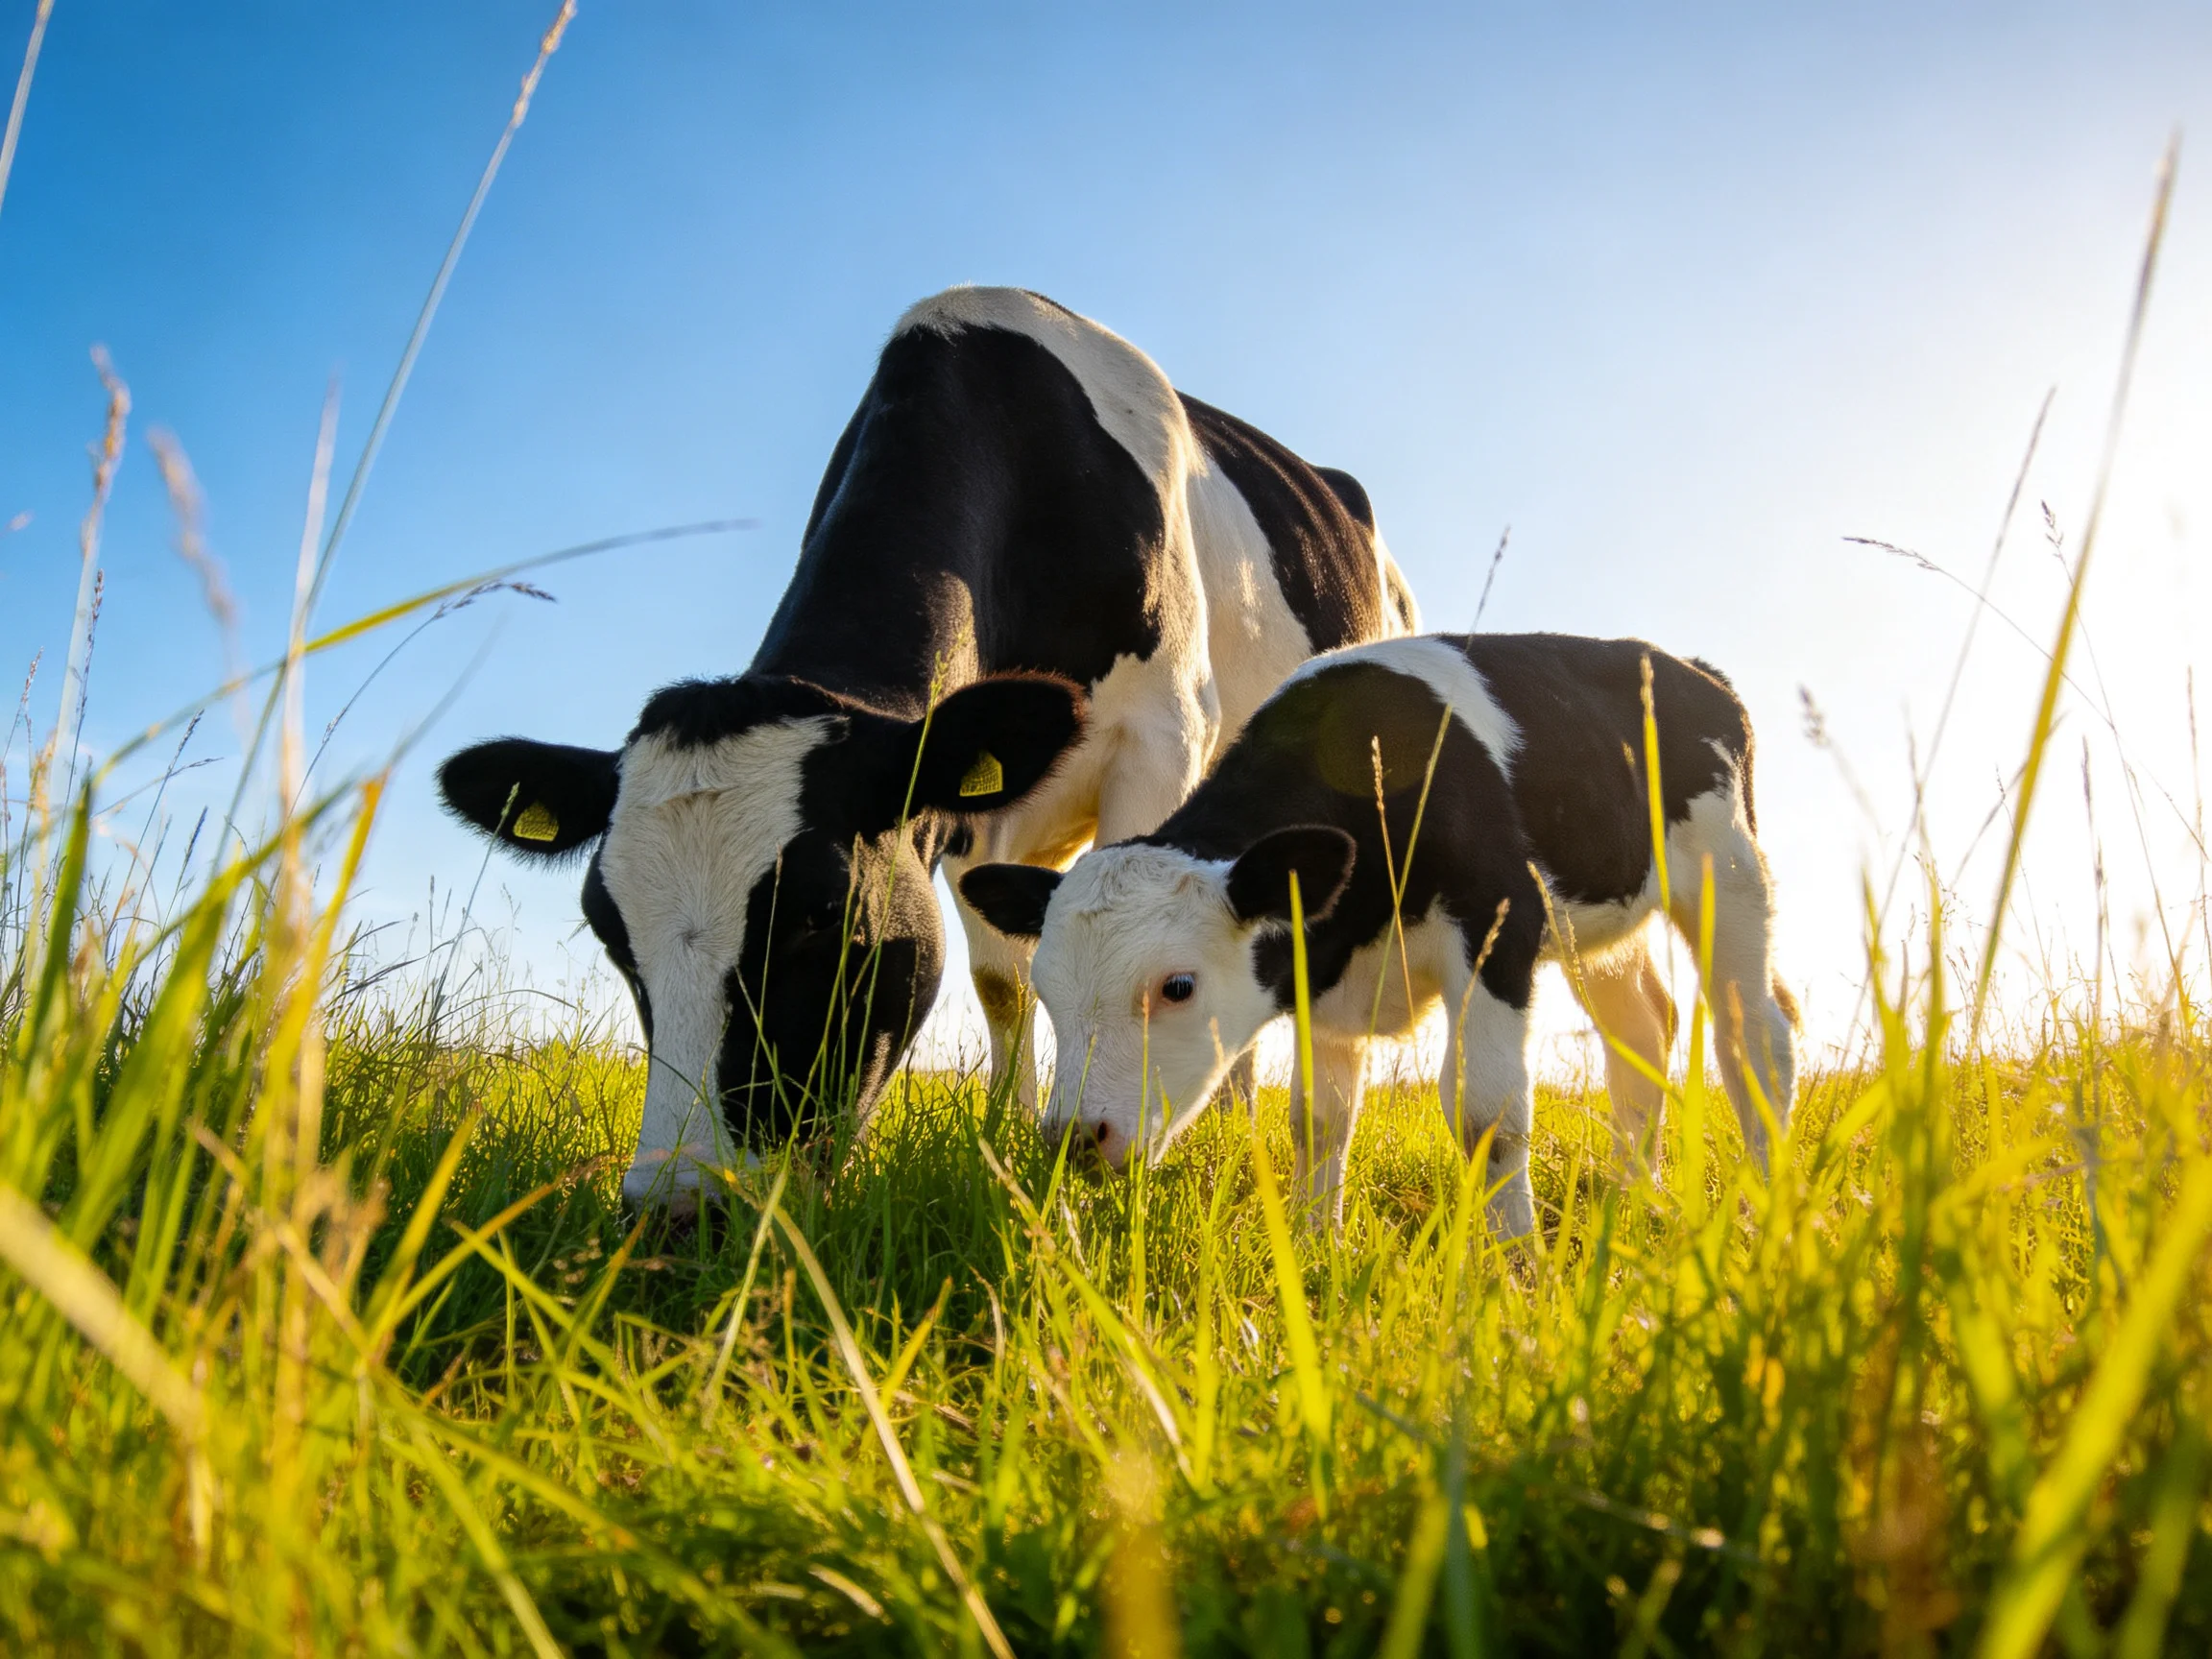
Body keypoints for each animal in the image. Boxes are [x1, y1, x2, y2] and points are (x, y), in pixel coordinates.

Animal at [436, 287, 1419, 1207]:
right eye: (611, 934)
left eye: (824, 919)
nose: (681, 1208)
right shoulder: (967, 819)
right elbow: (1003, 979)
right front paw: (1009, 1141)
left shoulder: (1161, 738)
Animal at [958, 633, 1797, 1239]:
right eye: (1047, 992)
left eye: (1178, 986)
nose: (1074, 1137)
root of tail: (1688, 667)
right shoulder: (1321, 975)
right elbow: (1319, 1121)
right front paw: (1314, 1250)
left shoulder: (1498, 923)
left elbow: (1487, 1114)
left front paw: (1515, 1265)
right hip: (1604, 925)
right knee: (1644, 1029)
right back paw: (1632, 1196)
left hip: (1728, 871)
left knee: (1756, 1034)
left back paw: (1766, 1202)